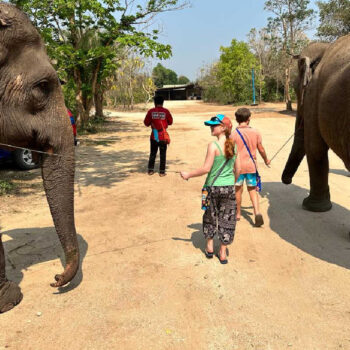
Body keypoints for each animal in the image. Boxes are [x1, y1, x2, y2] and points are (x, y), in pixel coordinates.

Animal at [282, 38, 350, 212]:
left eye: (295, 87)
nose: (287, 181)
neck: (325, 47)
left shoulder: (314, 94)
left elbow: (314, 147)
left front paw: (312, 207)